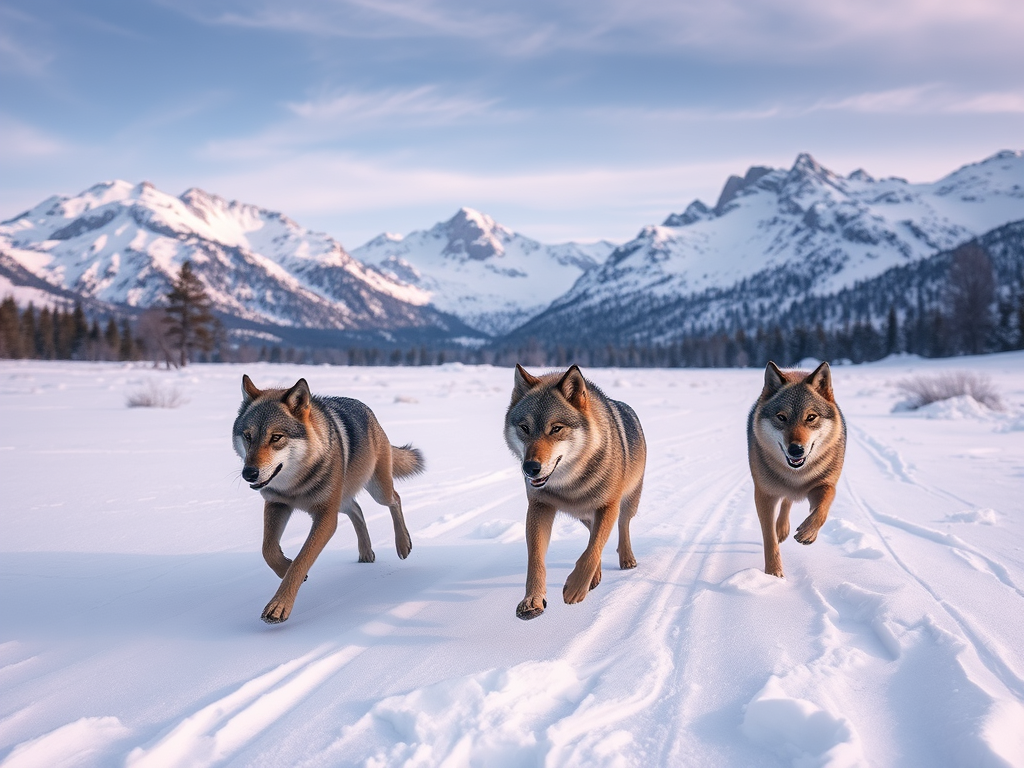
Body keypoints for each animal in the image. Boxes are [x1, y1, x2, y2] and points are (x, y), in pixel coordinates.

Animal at [233, 375, 424, 623]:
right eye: (248, 437)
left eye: (276, 437)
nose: (249, 473)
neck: (296, 483)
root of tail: (368, 410)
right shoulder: (277, 504)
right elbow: (268, 550)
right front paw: (285, 568)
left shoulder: (325, 517)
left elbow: (302, 560)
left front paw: (279, 605)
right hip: (342, 501)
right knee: (357, 510)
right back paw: (366, 552)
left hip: (377, 490)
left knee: (396, 499)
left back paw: (403, 544)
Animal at [504, 364, 647, 620]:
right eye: (525, 428)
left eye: (556, 429)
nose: (530, 468)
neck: (570, 485)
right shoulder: (539, 507)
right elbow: (536, 558)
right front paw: (532, 600)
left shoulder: (608, 505)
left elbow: (593, 549)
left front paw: (575, 588)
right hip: (583, 514)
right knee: (592, 533)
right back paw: (596, 576)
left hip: (629, 500)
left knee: (622, 526)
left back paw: (627, 559)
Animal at [747, 361, 846, 578]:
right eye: (781, 417)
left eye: (811, 417)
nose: (796, 449)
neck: (796, 476)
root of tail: (796, 370)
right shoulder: (764, 494)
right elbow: (769, 538)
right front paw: (773, 574)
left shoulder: (824, 485)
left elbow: (823, 508)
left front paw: (808, 533)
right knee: (786, 500)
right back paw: (781, 530)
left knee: (789, 500)